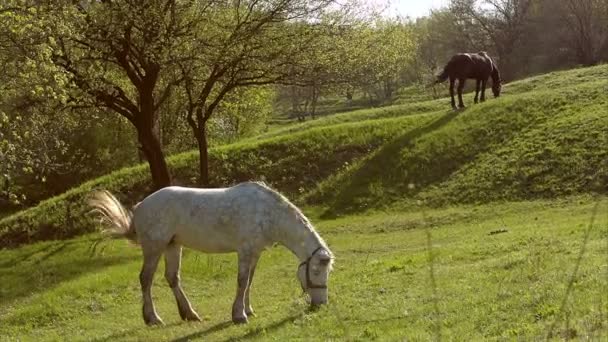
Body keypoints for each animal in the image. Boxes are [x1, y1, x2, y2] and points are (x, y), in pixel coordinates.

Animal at [90, 182, 334, 326]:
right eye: (316, 271)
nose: (321, 304)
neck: (267, 213)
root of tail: (141, 206)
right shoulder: (245, 251)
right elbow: (242, 281)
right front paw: (239, 315)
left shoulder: (255, 253)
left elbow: (249, 282)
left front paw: (248, 310)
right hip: (154, 248)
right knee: (146, 280)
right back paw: (153, 318)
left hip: (172, 246)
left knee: (172, 278)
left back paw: (189, 314)